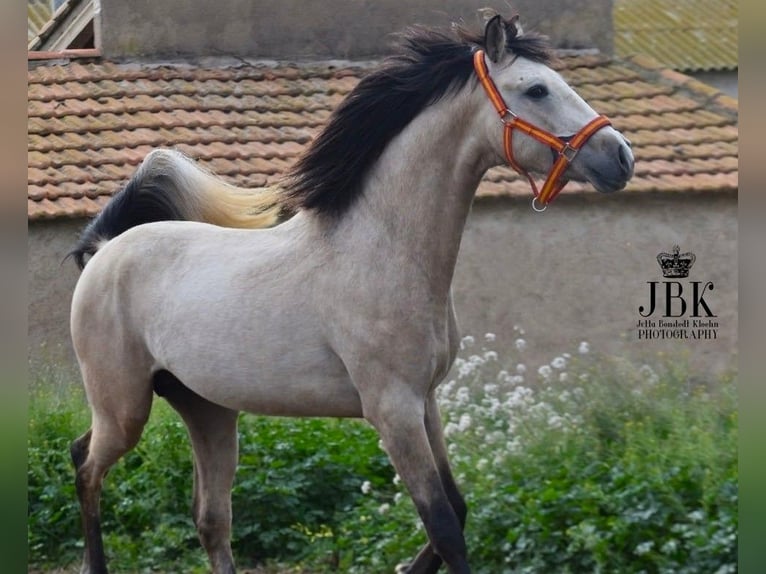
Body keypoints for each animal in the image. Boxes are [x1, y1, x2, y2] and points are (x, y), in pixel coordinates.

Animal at [67, 14, 633, 574]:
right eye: (537, 89)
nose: (621, 158)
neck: (382, 250)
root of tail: (104, 249)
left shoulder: (425, 401)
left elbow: (456, 509)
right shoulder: (391, 409)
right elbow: (445, 527)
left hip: (206, 408)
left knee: (209, 519)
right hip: (124, 408)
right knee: (85, 465)